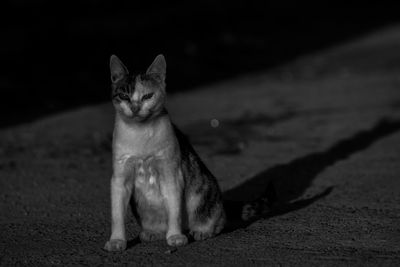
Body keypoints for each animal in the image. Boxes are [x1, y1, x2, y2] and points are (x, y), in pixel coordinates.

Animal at [103, 55, 276, 253]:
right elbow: (117, 214)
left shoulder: (171, 173)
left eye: (147, 96)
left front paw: (175, 236)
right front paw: (117, 240)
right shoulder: (119, 178)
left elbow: (174, 210)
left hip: (201, 193)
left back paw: (202, 231)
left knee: (217, 219)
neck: (141, 132)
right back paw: (153, 232)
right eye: (124, 96)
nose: (135, 108)